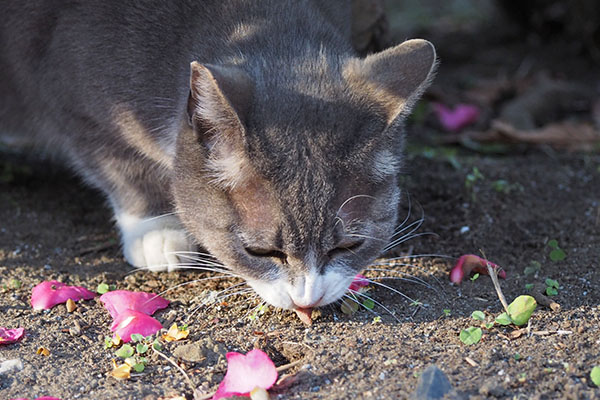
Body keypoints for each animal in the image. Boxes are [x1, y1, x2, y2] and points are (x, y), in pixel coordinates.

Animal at [1, 0, 436, 310]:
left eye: (349, 246)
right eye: (260, 251)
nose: (306, 300)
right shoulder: (83, 103)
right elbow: (121, 163)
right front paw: (157, 230)